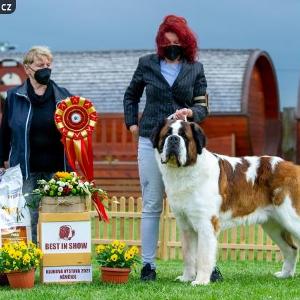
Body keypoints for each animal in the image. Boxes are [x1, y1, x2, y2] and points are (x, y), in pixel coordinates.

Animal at [151, 119, 300, 286]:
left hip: (291, 218)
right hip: (274, 225)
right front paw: (187, 278)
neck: (185, 171)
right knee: (291, 249)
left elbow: (203, 256)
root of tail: (293, 167)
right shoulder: (185, 226)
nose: (174, 139)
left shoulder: (206, 224)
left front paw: (200, 281)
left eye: (184, 136)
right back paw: (285, 275)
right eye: (167, 135)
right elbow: (188, 255)